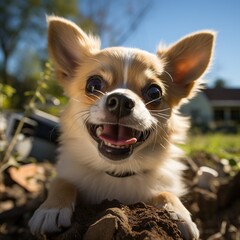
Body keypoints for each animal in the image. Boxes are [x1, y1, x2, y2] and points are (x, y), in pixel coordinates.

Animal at [29, 15, 215, 239]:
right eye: (93, 84)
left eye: (154, 92)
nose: (120, 100)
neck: (117, 172)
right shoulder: (67, 174)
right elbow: (62, 182)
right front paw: (51, 209)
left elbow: (166, 192)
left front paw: (179, 214)